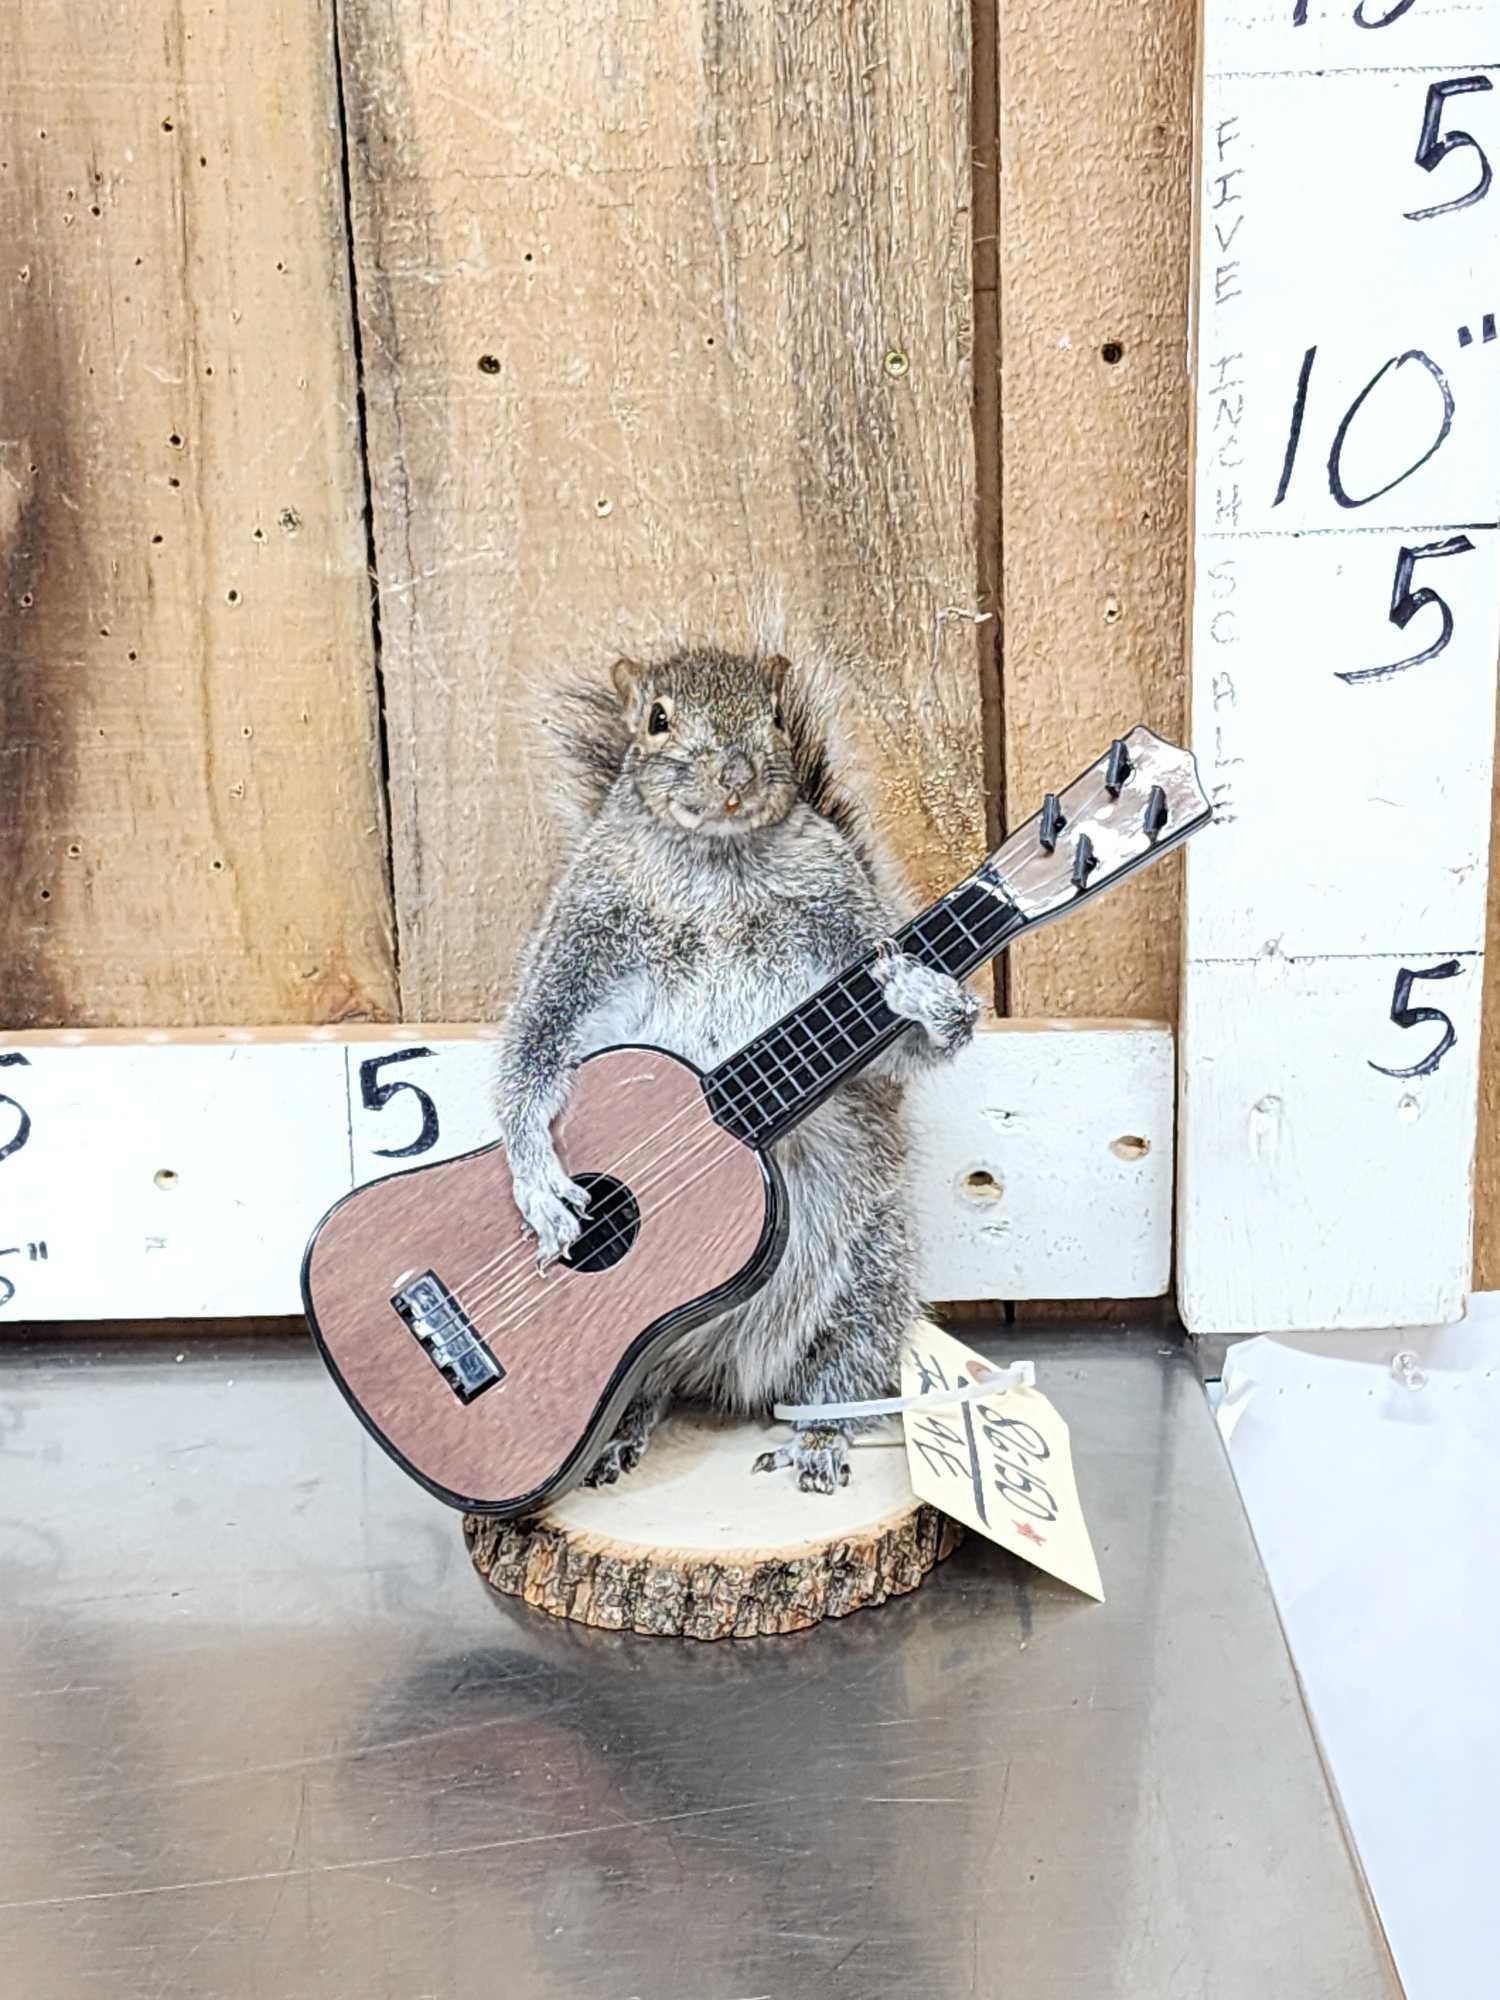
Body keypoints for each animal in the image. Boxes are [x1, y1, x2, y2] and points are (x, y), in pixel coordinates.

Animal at [493, 645, 978, 1495]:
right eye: (656, 719)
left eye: (776, 716)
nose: (735, 775)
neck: (716, 860)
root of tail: (719, 1368)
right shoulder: (584, 926)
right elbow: (535, 1043)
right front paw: (537, 1179)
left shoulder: (842, 909)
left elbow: (900, 1047)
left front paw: (930, 996)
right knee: (650, 1392)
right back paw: (623, 1434)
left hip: (867, 1275)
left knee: (841, 1373)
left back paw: (819, 1440)